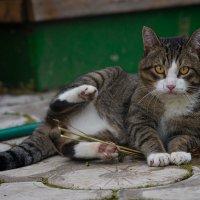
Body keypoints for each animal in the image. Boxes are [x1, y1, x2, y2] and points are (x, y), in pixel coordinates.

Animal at [0, 26, 200, 170]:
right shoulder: (136, 118)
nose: (171, 86)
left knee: (61, 143)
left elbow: (183, 138)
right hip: (103, 73)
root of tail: (54, 123)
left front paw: (179, 153)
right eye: (159, 69)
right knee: (55, 104)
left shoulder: (193, 131)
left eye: (184, 70)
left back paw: (101, 149)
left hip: (105, 134)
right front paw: (158, 155)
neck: (171, 102)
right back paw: (84, 92)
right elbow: (147, 135)